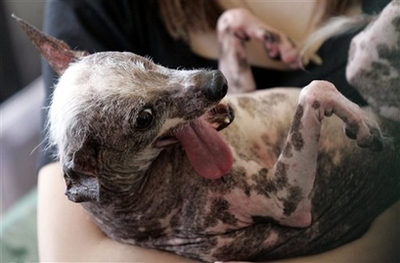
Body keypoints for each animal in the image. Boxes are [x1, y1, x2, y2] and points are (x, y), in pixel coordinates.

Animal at [14, 1, 398, 262]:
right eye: (144, 118)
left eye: (142, 59)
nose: (217, 82)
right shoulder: (286, 200)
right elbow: (315, 89)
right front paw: (358, 122)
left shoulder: (242, 88)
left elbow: (228, 18)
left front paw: (273, 41)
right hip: (362, 60)